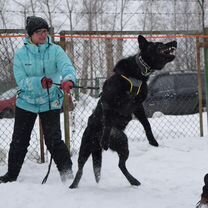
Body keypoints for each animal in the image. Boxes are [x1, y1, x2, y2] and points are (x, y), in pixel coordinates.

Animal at [70, 35, 177, 188]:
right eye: (159, 44)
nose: (175, 42)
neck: (138, 73)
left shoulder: (138, 106)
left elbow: (147, 124)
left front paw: (152, 140)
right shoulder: (108, 100)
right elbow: (108, 122)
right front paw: (105, 140)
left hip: (122, 142)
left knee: (121, 165)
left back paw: (133, 180)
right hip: (85, 149)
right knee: (80, 169)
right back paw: (73, 185)